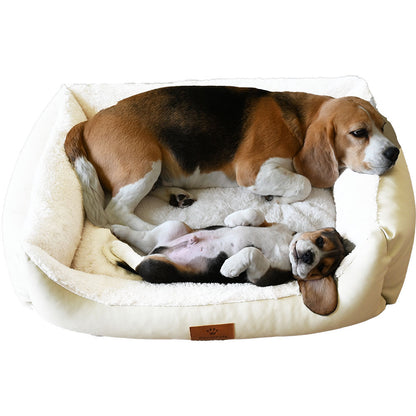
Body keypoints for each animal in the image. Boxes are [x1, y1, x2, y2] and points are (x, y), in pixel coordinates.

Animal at [65, 85, 399, 231]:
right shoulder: (251, 170)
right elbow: (303, 182)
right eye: (358, 132)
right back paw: (153, 229)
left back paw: (177, 195)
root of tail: (88, 122)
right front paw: (276, 197)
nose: (394, 152)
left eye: (384, 125)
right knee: (117, 210)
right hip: (144, 163)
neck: (298, 120)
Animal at [103, 209, 350, 315]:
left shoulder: (261, 277)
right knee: (144, 239)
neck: (284, 243)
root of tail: (160, 248)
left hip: (158, 266)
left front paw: (229, 266)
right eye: (320, 241)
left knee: (138, 259)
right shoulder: (272, 225)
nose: (309, 257)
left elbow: (252, 251)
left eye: (320, 268)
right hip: (175, 226)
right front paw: (234, 219)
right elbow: (257, 213)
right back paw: (118, 230)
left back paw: (113, 246)